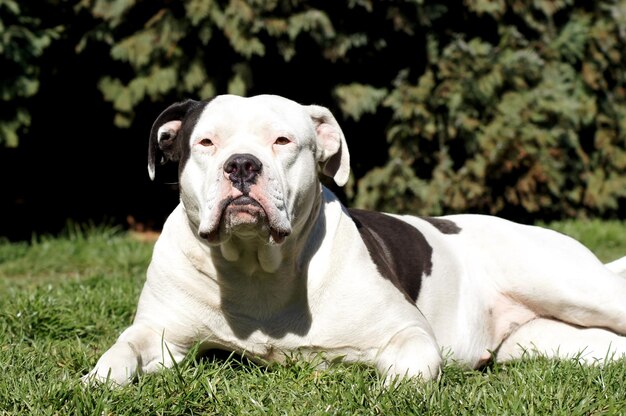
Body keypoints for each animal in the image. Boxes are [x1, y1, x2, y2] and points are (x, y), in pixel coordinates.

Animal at [84, 94, 626, 386]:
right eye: (205, 142)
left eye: (282, 140)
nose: (241, 164)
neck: (256, 265)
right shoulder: (160, 334)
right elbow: (121, 352)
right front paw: (96, 380)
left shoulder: (408, 333)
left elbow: (407, 369)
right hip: (550, 340)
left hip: (568, 285)